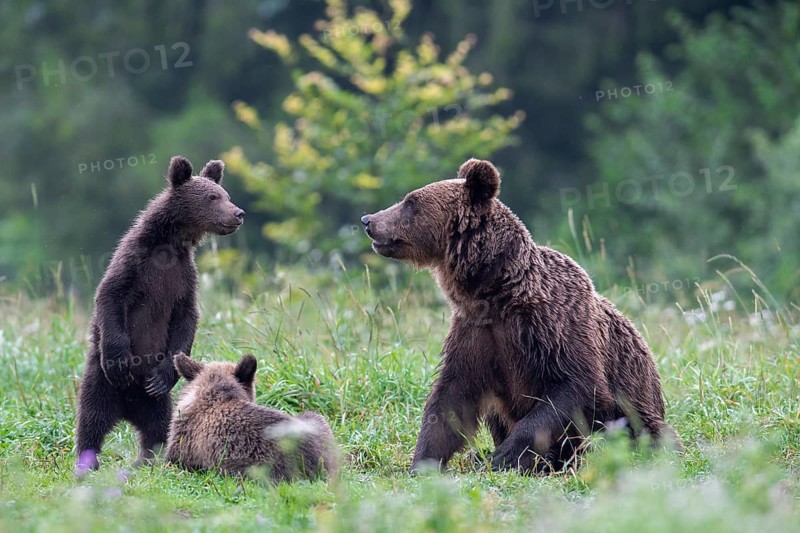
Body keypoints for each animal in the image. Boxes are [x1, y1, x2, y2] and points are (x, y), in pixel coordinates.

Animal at [75, 155, 245, 476]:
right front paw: (119, 361)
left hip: (156, 402)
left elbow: (186, 319)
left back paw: (147, 457)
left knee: (157, 426)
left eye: (225, 194)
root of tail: (127, 407)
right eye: (212, 197)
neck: (170, 243)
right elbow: (110, 296)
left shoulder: (183, 278)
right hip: (99, 382)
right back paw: (87, 462)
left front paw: (167, 371)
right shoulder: (134, 264)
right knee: (92, 418)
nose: (239, 213)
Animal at [361, 158, 680, 473]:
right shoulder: (476, 334)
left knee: (647, 433)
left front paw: (503, 456)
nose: (368, 220)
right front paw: (424, 462)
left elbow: (575, 388)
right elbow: (452, 398)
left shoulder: (553, 327)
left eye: (410, 202)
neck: (496, 294)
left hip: (637, 403)